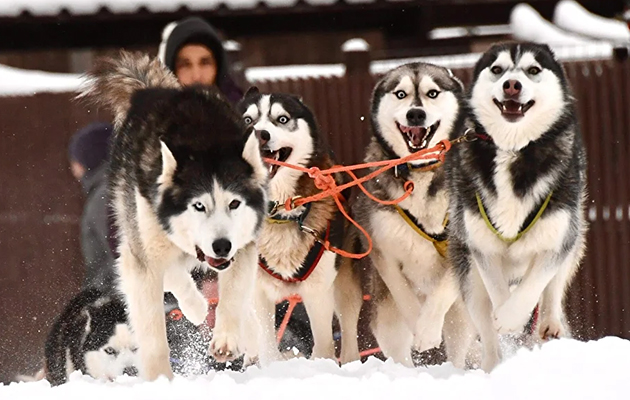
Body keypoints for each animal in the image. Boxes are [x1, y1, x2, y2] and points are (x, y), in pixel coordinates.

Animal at [80, 51, 268, 380]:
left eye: (234, 204)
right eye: (198, 206)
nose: (222, 246)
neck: (203, 143)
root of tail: (150, 90)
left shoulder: (243, 246)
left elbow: (232, 297)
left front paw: (227, 338)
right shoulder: (141, 261)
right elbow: (153, 334)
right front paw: (160, 380)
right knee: (173, 273)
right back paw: (196, 307)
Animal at [237, 89, 350, 364]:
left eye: (282, 119)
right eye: (248, 120)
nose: (260, 134)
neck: (279, 213)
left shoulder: (318, 290)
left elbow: (323, 344)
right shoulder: (258, 291)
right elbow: (266, 343)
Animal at [344, 61, 476, 366]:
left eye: (432, 93)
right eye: (401, 94)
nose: (416, 113)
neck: (419, 172)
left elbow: (441, 294)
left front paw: (426, 331)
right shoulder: (383, 251)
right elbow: (403, 294)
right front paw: (419, 325)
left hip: (460, 314)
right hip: (386, 315)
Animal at [446, 42, 592, 370]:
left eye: (533, 70)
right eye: (497, 69)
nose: (511, 85)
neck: (513, 149)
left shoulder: (556, 236)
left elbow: (535, 284)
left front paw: (513, 317)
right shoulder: (481, 244)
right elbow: (497, 291)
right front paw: (505, 317)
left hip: (573, 233)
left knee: (553, 288)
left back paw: (549, 322)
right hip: (467, 270)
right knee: (485, 326)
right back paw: (493, 365)